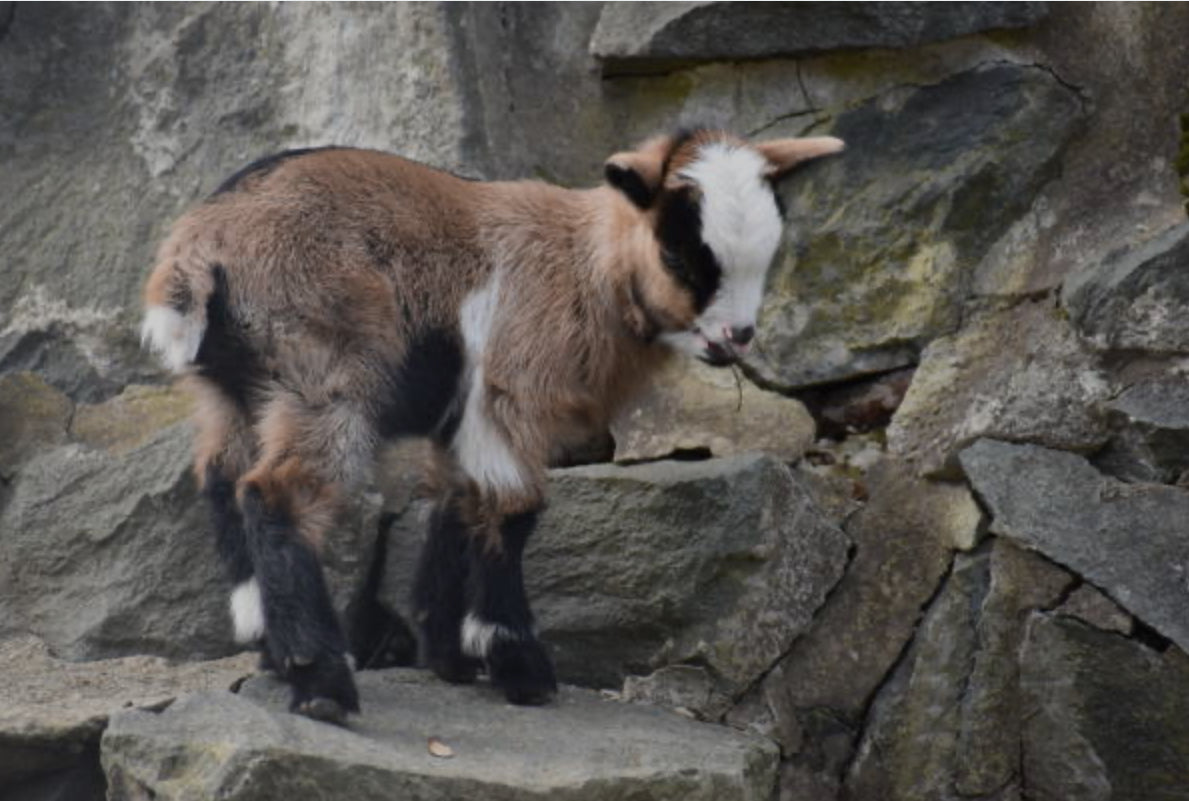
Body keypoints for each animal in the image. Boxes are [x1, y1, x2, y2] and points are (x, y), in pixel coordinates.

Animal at [141, 130, 844, 723]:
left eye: (766, 255)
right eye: (679, 253)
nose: (736, 337)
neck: (583, 263)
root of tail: (196, 253)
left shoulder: (463, 423)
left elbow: (459, 507)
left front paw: (449, 656)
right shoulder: (510, 395)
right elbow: (513, 510)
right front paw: (518, 665)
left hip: (233, 395)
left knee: (221, 482)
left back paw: (270, 647)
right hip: (326, 375)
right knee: (276, 493)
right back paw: (322, 684)